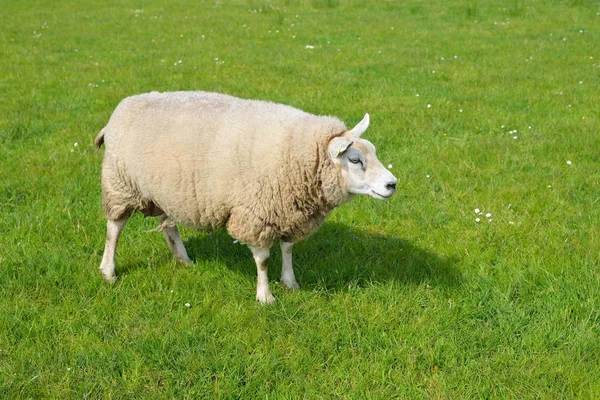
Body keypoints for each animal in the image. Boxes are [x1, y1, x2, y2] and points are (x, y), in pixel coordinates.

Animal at [95, 90, 398, 304]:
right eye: (355, 159)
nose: (392, 184)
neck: (299, 156)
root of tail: (120, 108)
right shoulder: (257, 213)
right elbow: (263, 260)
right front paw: (265, 297)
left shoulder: (288, 212)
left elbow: (288, 249)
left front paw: (290, 283)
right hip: (120, 185)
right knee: (114, 230)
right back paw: (108, 271)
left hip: (165, 190)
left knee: (169, 226)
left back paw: (183, 259)